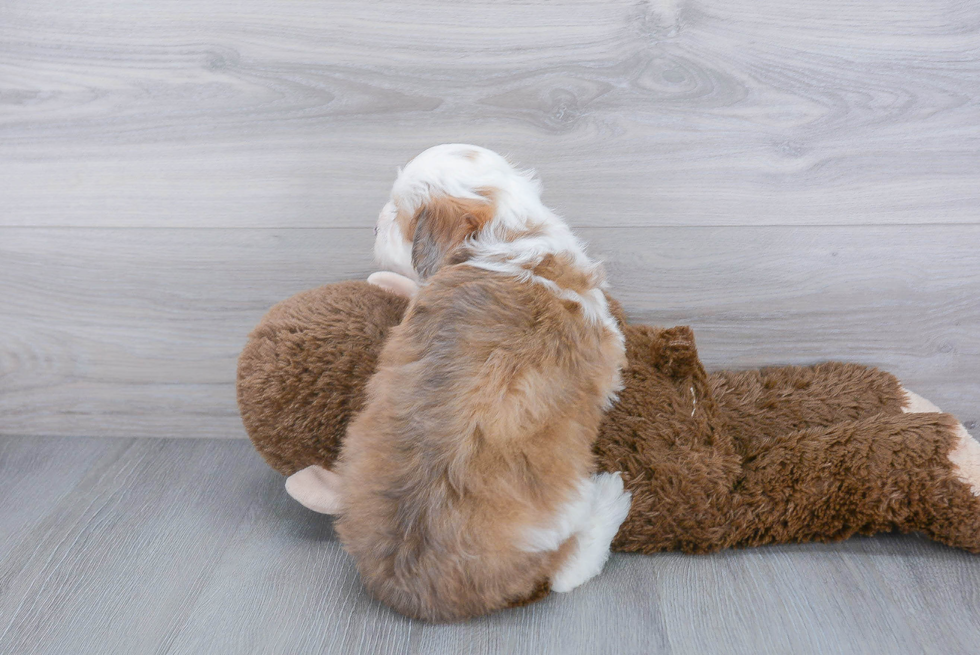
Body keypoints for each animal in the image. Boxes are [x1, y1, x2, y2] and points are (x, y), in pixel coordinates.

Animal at [330, 146, 632, 624]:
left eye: (397, 214)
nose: (374, 226)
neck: (504, 240)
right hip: (565, 510)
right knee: (567, 571)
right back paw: (610, 502)